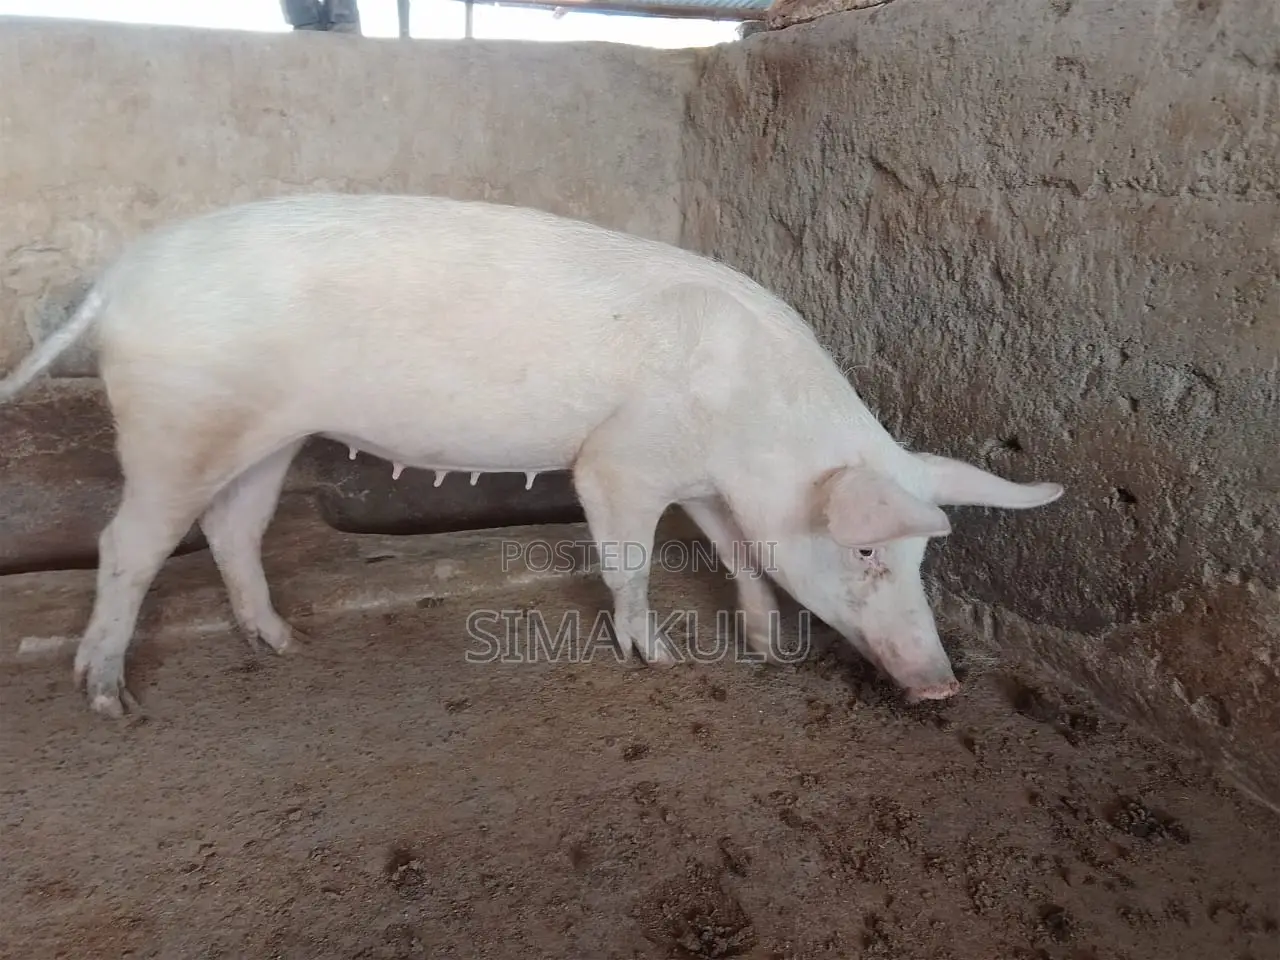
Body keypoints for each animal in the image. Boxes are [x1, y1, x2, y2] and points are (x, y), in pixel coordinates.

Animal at [0, 192, 1063, 718]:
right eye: (868, 549)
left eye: (920, 559)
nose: (943, 683)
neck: (750, 422)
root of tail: (119, 276)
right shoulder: (623, 463)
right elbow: (628, 558)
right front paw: (660, 660)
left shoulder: (707, 483)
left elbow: (741, 555)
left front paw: (765, 646)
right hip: (179, 422)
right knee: (128, 543)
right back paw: (109, 700)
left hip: (272, 435)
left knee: (232, 526)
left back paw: (284, 643)